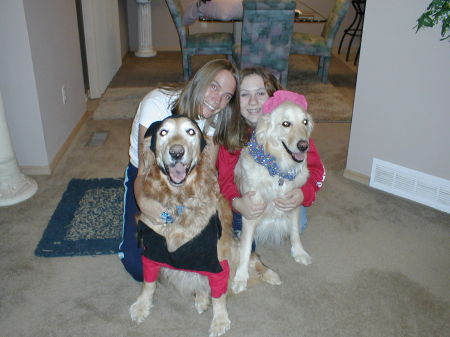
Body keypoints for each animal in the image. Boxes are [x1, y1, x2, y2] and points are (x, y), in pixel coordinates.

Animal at [232, 90, 312, 292]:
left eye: (305, 121)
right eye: (286, 123)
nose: (304, 145)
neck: (278, 169)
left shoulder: (293, 202)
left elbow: (295, 232)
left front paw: (299, 252)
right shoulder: (250, 212)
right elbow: (245, 249)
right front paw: (241, 277)